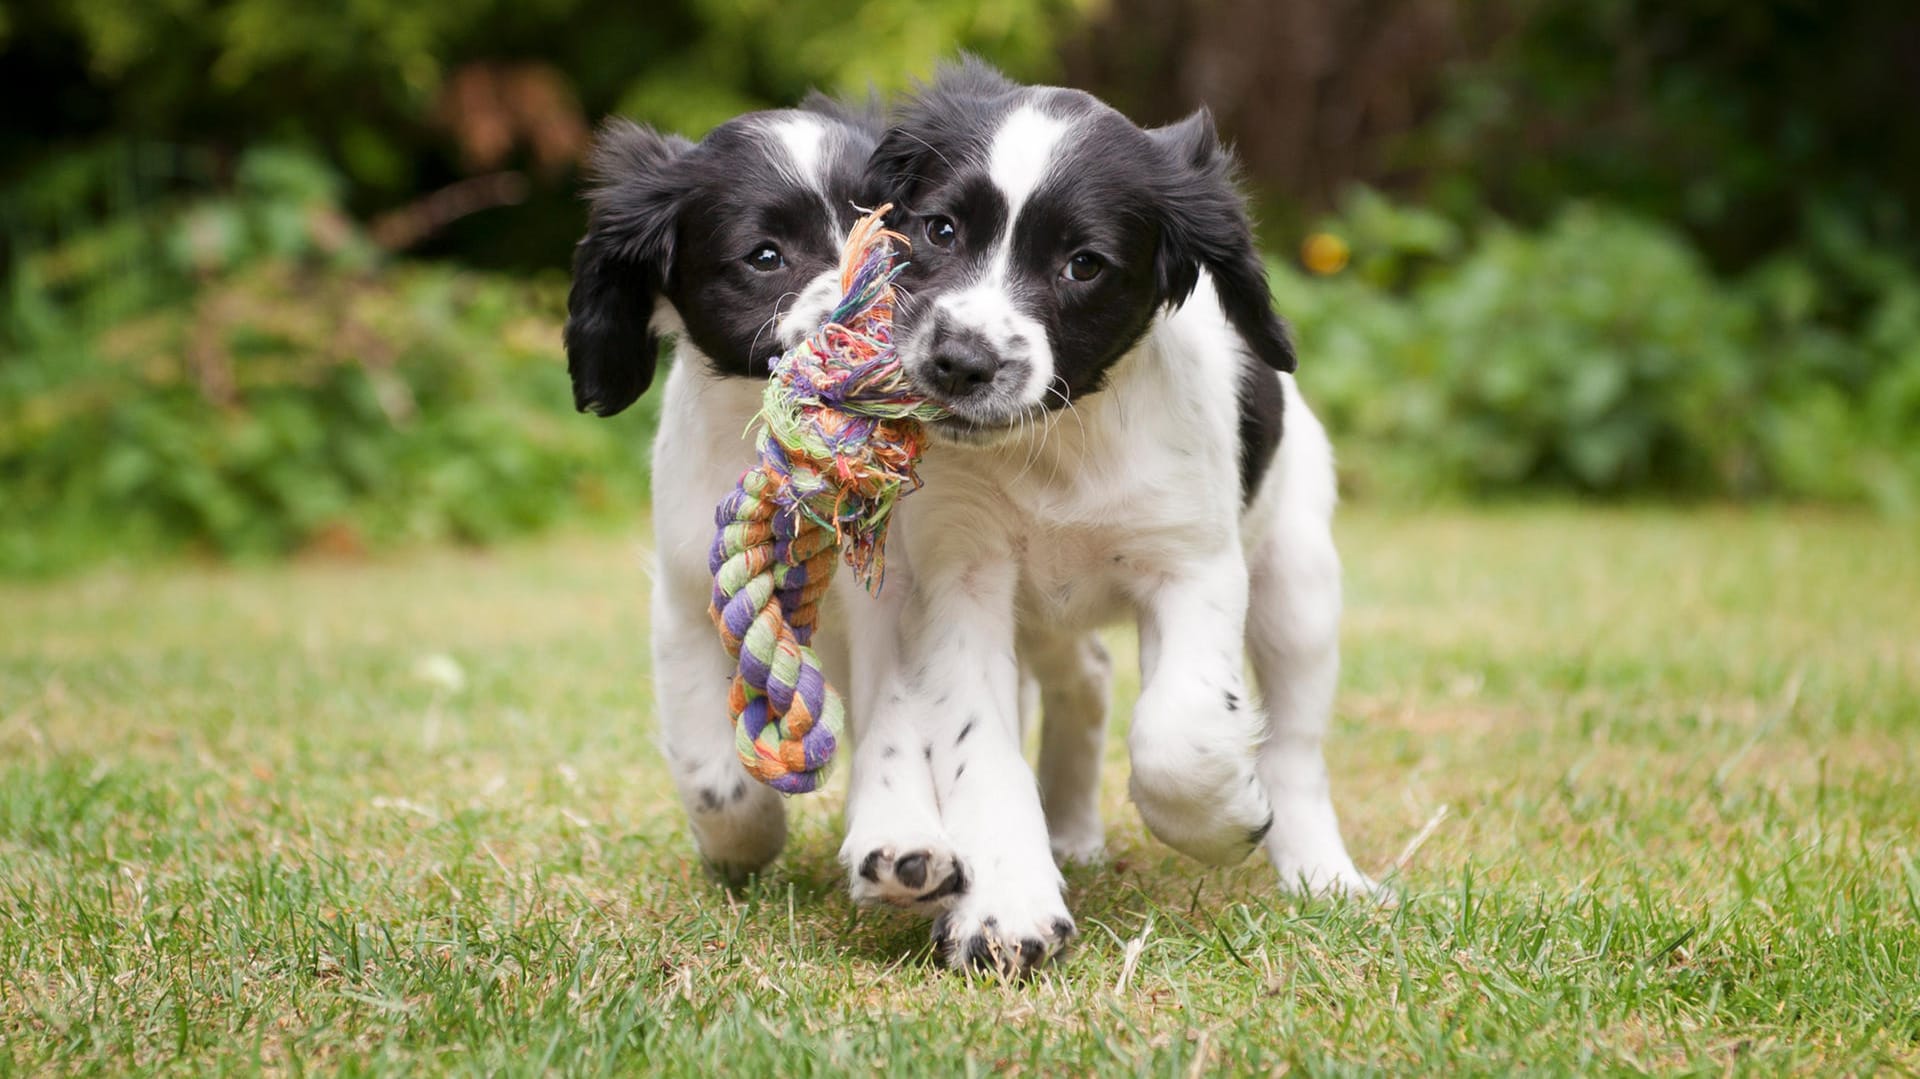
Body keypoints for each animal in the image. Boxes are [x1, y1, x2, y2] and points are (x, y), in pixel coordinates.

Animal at [856, 60, 1382, 975]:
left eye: (1084, 264)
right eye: (940, 228)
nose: (959, 362)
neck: (1059, 442)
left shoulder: (1194, 566)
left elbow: (1179, 730)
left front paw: (1222, 819)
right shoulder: (960, 579)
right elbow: (980, 748)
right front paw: (1008, 907)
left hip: (1298, 584)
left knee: (1295, 746)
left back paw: (1323, 873)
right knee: (1087, 678)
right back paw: (1069, 831)